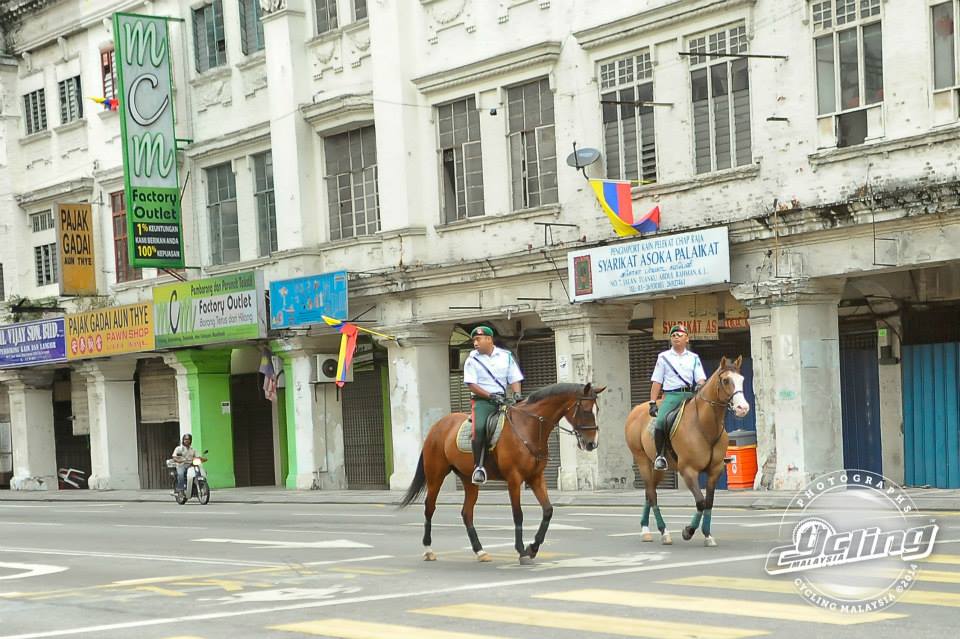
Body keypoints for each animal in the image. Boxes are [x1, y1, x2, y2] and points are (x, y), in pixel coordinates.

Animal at [402, 382, 604, 564]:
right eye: (586, 410)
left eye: (597, 410)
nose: (591, 444)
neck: (528, 426)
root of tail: (437, 426)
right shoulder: (514, 478)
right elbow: (518, 514)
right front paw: (522, 551)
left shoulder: (536, 477)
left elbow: (548, 510)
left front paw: (533, 548)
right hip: (435, 475)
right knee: (429, 507)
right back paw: (428, 550)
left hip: (469, 479)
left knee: (467, 513)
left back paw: (480, 551)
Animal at [624, 358, 752, 548]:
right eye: (726, 380)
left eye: (742, 379)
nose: (742, 408)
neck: (704, 425)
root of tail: (637, 409)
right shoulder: (688, 471)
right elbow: (700, 502)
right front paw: (688, 531)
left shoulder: (715, 471)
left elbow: (708, 502)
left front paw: (707, 534)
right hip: (642, 461)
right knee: (652, 495)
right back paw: (663, 532)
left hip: (657, 468)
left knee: (649, 492)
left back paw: (645, 529)